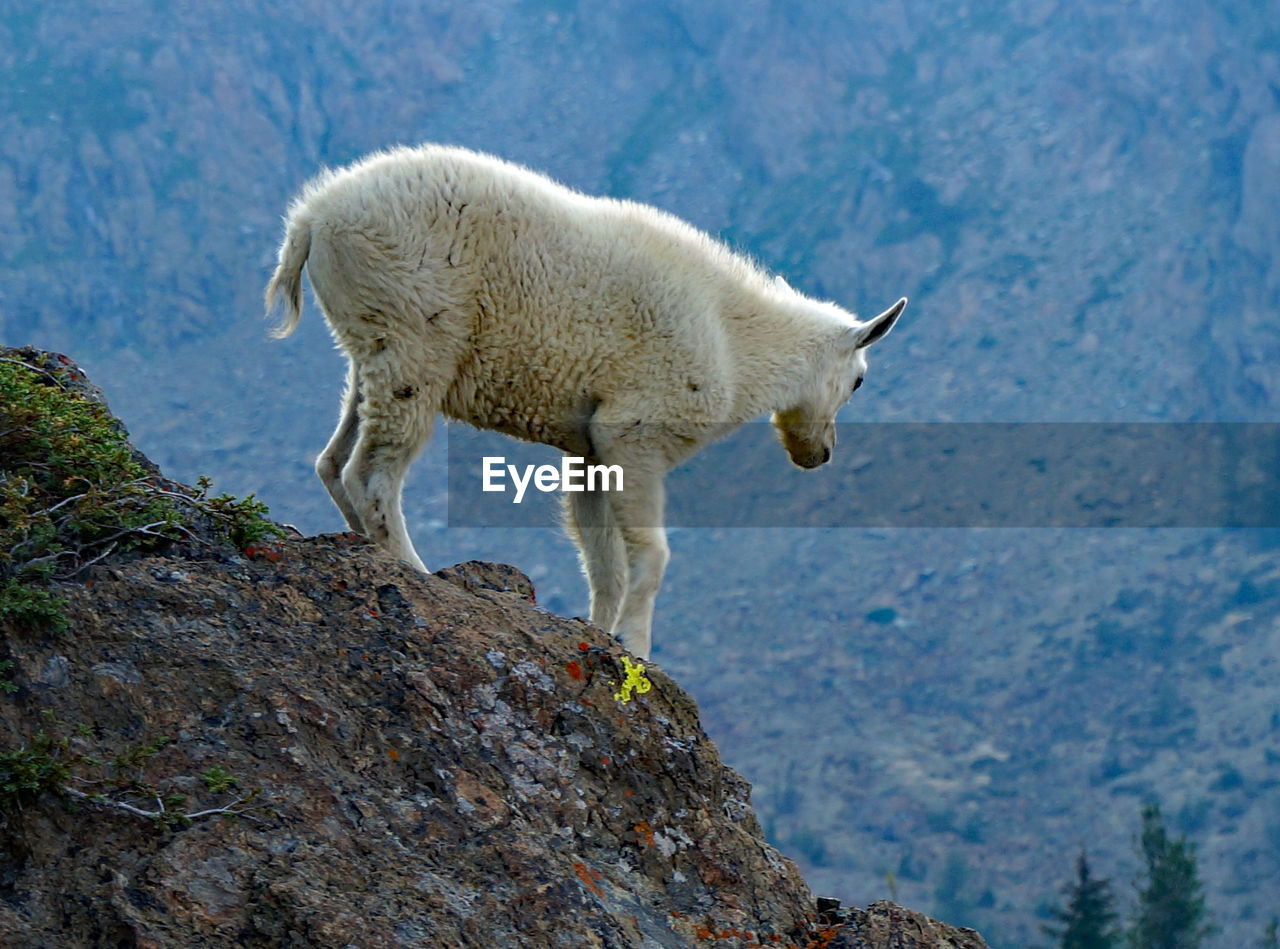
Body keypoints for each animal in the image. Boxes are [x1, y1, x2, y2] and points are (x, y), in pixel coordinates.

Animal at [264, 142, 906, 660]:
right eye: (858, 381)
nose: (820, 454)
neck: (735, 339)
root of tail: (312, 219)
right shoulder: (634, 433)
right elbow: (651, 556)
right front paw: (637, 645)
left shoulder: (590, 449)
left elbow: (604, 562)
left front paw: (600, 632)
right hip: (414, 343)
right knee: (372, 474)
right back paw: (414, 570)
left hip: (370, 347)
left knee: (334, 459)